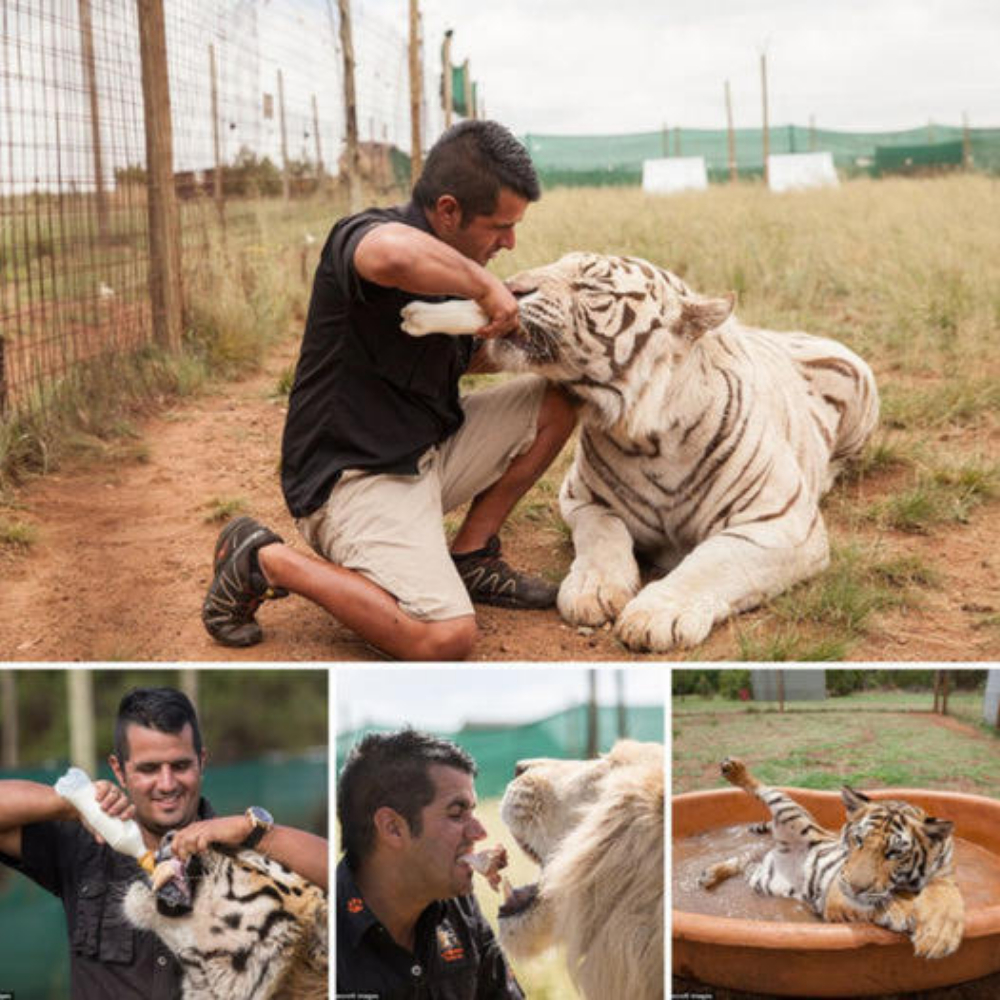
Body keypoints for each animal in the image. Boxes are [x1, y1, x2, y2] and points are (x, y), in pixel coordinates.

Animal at [402, 254, 880, 652]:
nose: (509, 287)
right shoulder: (583, 500)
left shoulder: (781, 523)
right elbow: (603, 536)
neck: (648, 438)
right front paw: (592, 591)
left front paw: (656, 614)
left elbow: (714, 561)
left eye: (590, 286)